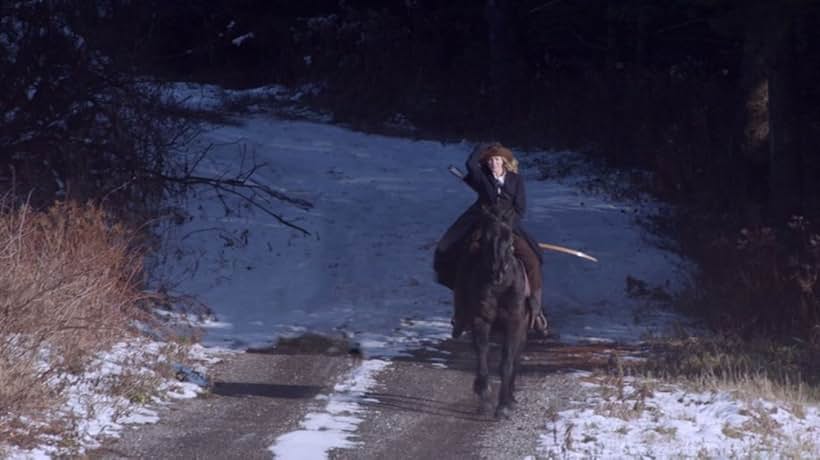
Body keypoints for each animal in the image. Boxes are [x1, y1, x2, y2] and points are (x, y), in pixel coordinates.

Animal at [452, 204, 528, 416]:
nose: (497, 273)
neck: (501, 288)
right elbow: (482, 352)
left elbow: (507, 361)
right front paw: (484, 392)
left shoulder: (514, 322)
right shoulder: (480, 318)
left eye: (509, 240)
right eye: (484, 239)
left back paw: (510, 397)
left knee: (516, 357)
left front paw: (503, 405)